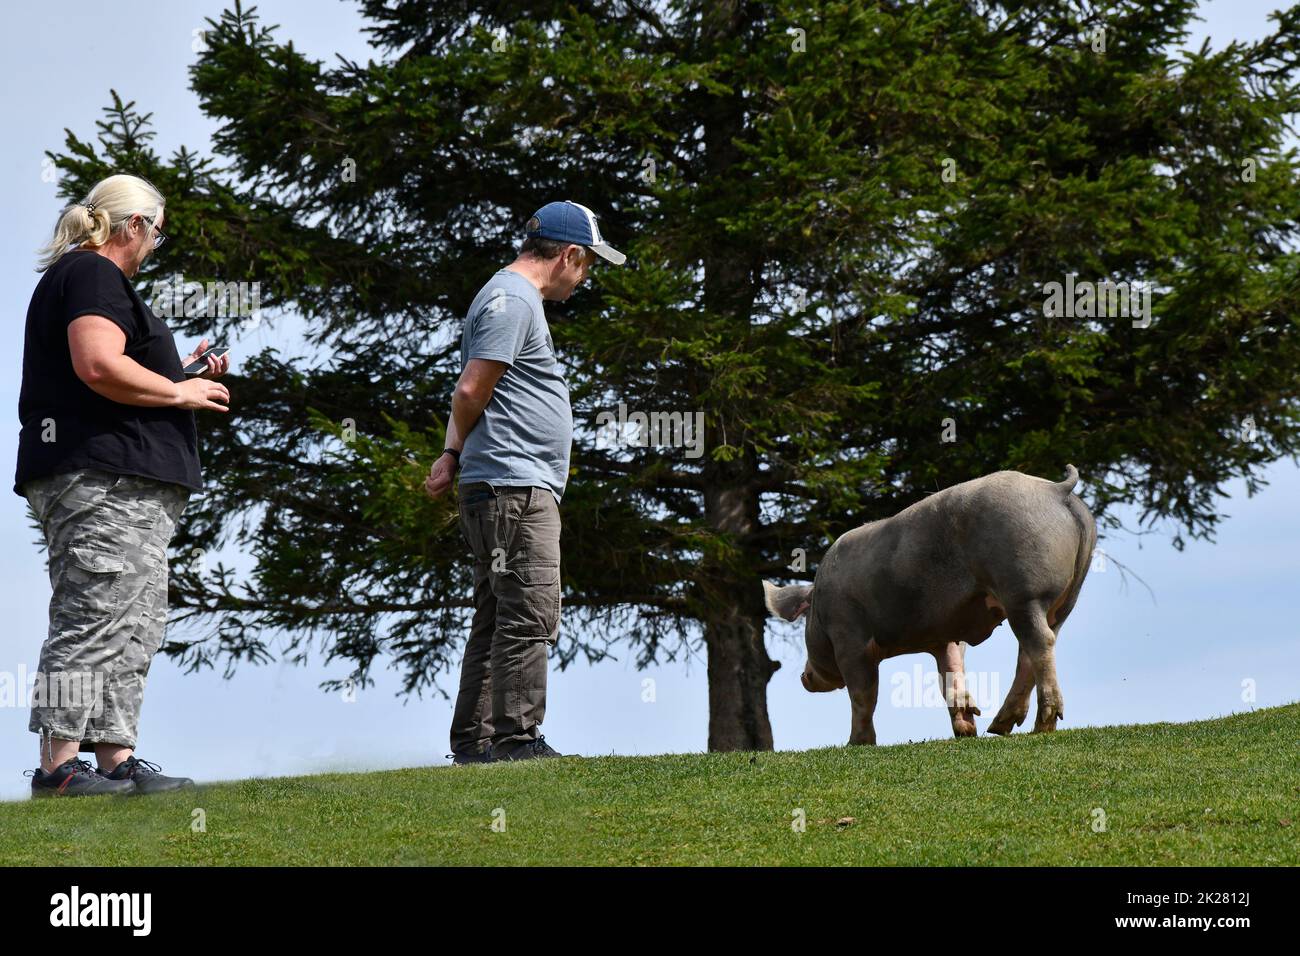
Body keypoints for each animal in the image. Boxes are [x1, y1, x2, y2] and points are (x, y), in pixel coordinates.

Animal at [763, 465, 1096, 744]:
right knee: (1035, 646)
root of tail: (1056, 489)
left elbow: (863, 693)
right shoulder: (946, 636)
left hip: (1023, 589)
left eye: (805, 622)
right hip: (1065, 598)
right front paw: (966, 730)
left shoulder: (849, 635)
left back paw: (1043, 724)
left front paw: (856, 744)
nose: (804, 676)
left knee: (1039, 643)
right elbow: (950, 674)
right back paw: (998, 728)